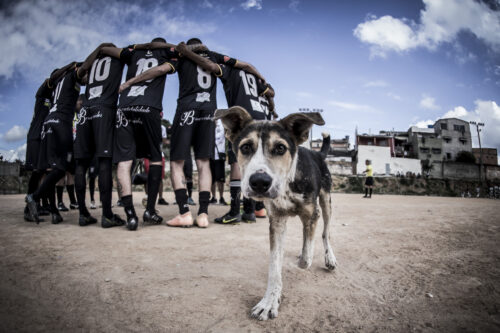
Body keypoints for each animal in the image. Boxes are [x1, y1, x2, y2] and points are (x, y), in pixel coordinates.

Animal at [213, 105, 338, 320]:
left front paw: (305, 257)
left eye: (280, 148)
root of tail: (319, 155)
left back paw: (329, 257)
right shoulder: (277, 221)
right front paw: (269, 301)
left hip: (326, 200)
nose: (259, 182)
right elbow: (274, 265)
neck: (286, 184)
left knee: (325, 233)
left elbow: (307, 257)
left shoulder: (312, 214)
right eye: (246, 147)